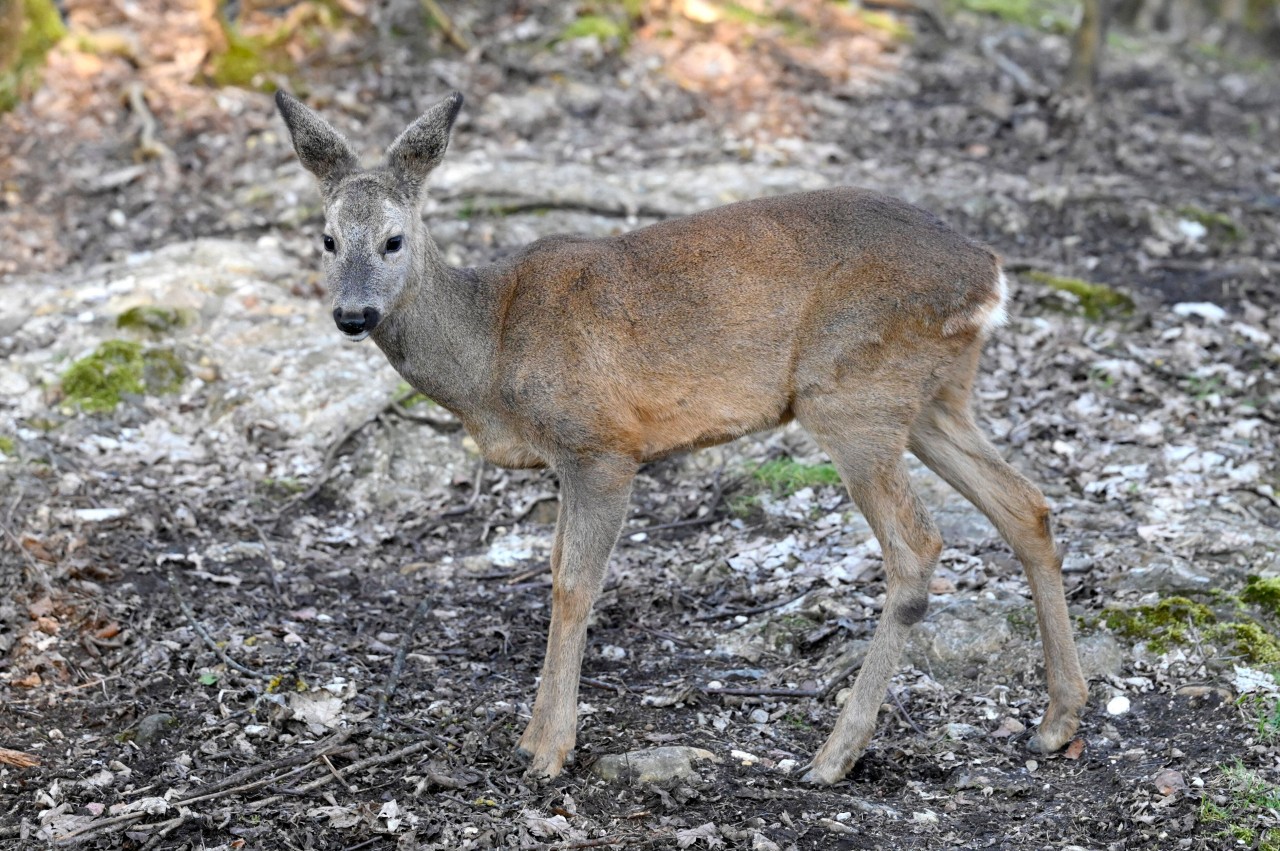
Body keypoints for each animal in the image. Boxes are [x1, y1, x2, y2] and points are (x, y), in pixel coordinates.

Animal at [275, 91, 1085, 783]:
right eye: (326, 238)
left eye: (393, 240)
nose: (352, 314)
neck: (492, 352)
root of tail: (990, 275)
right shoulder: (570, 460)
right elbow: (556, 570)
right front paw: (534, 736)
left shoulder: (602, 445)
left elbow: (574, 584)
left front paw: (548, 748)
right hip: (932, 399)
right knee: (1027, 505)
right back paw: (1056, 722)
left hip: (854, 393)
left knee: (917, 547)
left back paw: (833, 755)